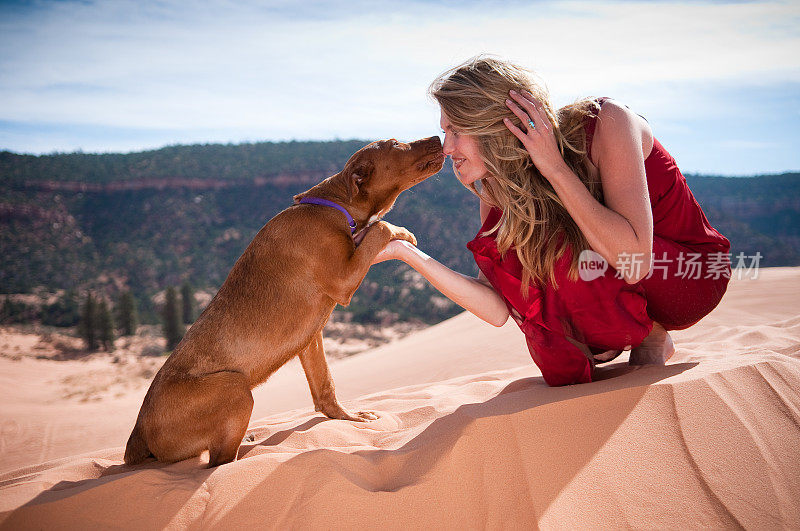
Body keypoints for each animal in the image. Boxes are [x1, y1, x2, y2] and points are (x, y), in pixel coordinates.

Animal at [123, 136, 444, 466]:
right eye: (396, 144)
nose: (436, 138)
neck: (333, 207)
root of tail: (138, 432)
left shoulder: (311, 337)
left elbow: (326, 387)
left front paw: (349, 418)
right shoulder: (343, 280)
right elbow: (380, 227)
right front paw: (401, 231)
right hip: (235, 387)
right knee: (220, 461)